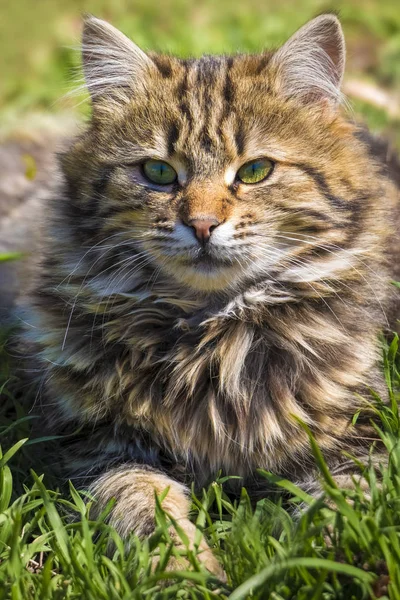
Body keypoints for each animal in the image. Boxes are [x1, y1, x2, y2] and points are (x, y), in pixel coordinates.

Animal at [13, 12, 400, 576]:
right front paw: (187, 570)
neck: (212, 336)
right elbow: (139, 504)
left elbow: (341, 509)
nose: (201, 224)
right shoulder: (100, 448)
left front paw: (319, 565)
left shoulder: (360, 441)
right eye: (158, 173)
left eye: (256, 171)